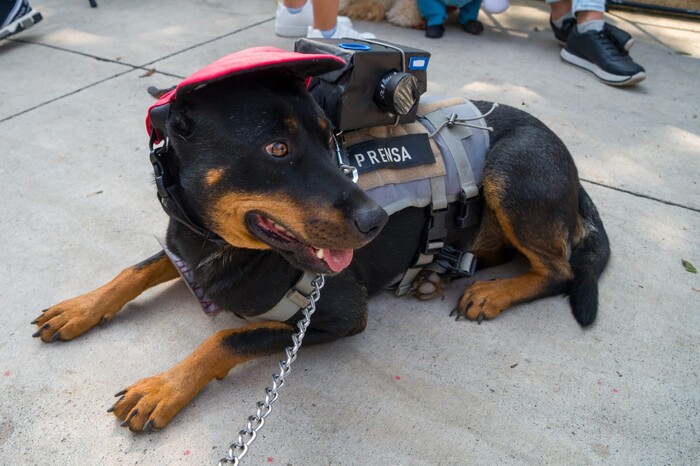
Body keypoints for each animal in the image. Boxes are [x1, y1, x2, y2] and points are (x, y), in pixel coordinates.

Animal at [32, 49, 608, 432]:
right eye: (277, 148)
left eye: (328, 135)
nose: (376, 220)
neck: (221, 245)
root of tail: (573, 170)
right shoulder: (187, 246)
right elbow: (138, 267)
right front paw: (80, 308)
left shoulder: (337, 313)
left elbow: (228, 337)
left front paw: (163, 388)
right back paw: (438, 270)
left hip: (511, 170)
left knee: (558, 270)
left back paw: (490, 292)